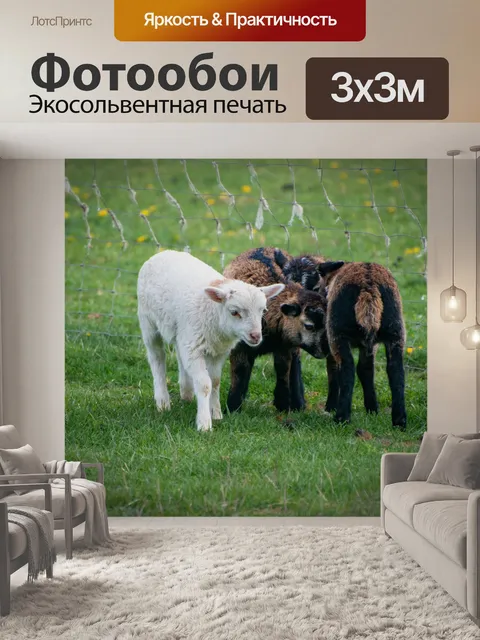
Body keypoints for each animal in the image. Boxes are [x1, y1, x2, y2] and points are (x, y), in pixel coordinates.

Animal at [137, 250, 284, 432]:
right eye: (234, 312)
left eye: (263, 310)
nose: (256, 336)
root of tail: (163, 252)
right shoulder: (194, 348)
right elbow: (204, 384)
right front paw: (204, 423)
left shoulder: (218, 351)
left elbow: (215, 382)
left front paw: (216, 413)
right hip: (148, 321)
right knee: (157, 358)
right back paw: (163, 402)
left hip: (181, 332)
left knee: (179, 355)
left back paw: (186, 393)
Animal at [223, 247, 336, 413]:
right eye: (309, 325)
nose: (328, 348)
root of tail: (261, 248)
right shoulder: (239, 347)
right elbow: (239, 371)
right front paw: (232, 408)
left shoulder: (284, 345)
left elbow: (283, 370)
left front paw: (283, 405)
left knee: (294, 365)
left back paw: (297, 402)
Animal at [278, 255, 407, 428]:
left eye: (316, 286)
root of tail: (368, 284)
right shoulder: (369, 345)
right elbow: (366, 370)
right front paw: (372, 409)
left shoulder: (330, 341)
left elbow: (334, 372)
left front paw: (331, 407)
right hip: (395, 330)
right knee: (396, 371)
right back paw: (399, 421)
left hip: (338, 332)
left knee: (347, 370)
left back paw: (341, 417)